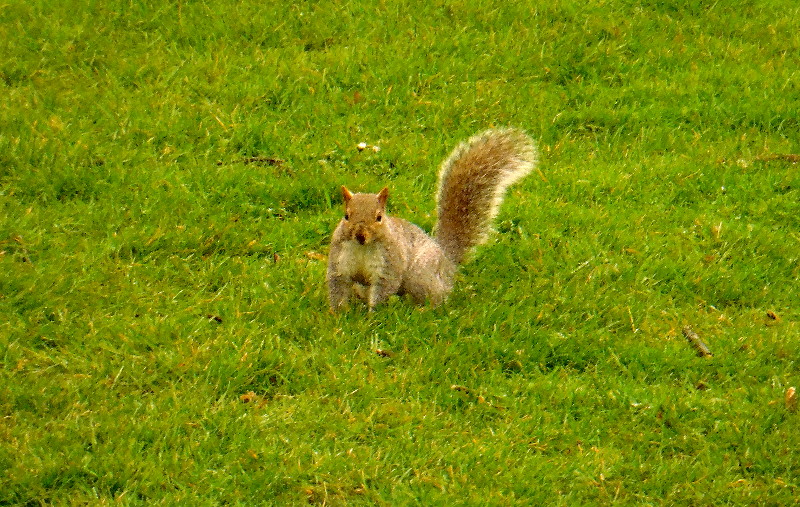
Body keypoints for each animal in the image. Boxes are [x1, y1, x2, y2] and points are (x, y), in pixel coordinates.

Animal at [324, 127, 536, 312]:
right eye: (346, 216)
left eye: (379, 217)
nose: (360, 235)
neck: (362, 248)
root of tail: (447, 261)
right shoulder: (340, 261)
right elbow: (338, 285)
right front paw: (338, 314)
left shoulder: (390, 263)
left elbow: (384, 288)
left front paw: (372, 315)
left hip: (421, 274)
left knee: (435, 298)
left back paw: (424, 310)